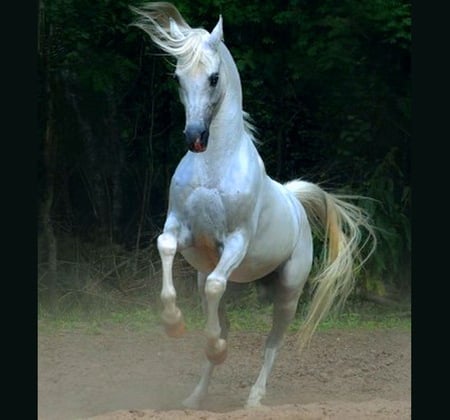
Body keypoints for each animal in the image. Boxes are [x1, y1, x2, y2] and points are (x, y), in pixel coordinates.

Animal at [131, 2, 376, 410]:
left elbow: (218, 291)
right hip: (227, 279)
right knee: (221, 314)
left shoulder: (235, 241)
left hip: (289, 292)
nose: (194, 137)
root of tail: (294, 200)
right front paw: (174, 324)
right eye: (179, 77)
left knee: (272, 343)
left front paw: (214, 347)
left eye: (213, 78)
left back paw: (254, 398)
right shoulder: (181, 228)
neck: (214, 165)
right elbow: (167, 249)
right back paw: (195, 397)